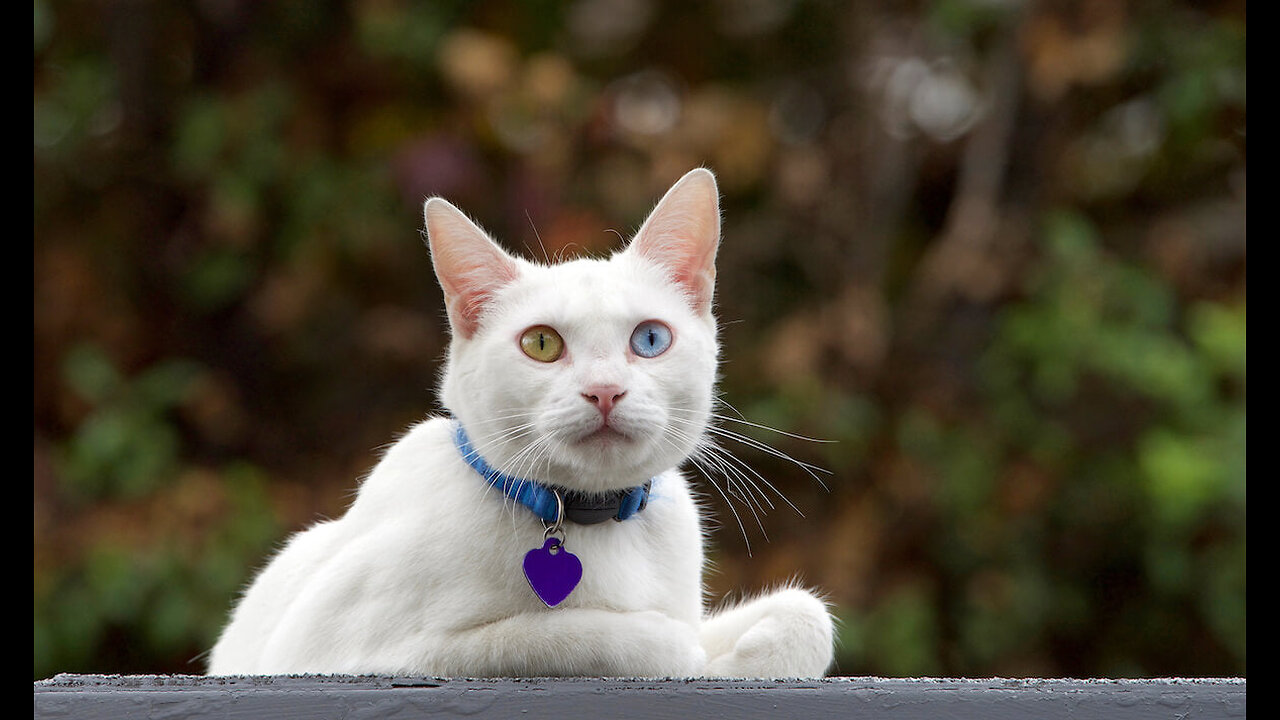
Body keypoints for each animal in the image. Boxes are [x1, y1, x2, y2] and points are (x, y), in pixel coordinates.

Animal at [206, 166, 834, 671]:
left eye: (650, 340)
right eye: (541, 344)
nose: (604, 391)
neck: (589, 521)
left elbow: (808, 613)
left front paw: (745, 656)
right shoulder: (335, 655)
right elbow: (543, 634)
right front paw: (672, 648)